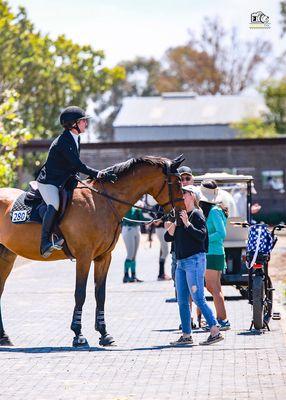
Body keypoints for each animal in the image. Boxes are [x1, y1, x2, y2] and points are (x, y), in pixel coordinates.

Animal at [0, 155, 184, 346]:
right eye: (177, 183)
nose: (180, 214)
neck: (103, 202)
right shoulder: (84, 257)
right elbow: (80, 293)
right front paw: (78, 334)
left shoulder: (104, 257)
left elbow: (100, 293)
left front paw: (104, 333)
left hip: (6, 256)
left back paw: (4, 337)